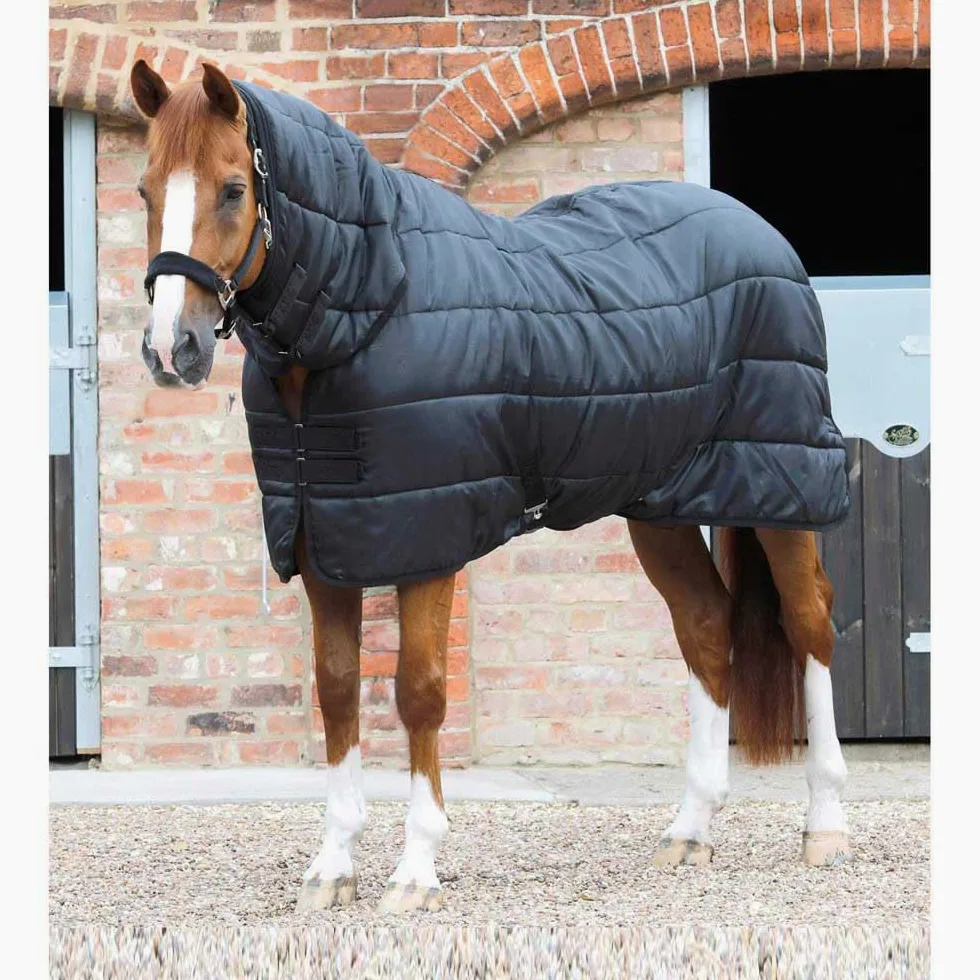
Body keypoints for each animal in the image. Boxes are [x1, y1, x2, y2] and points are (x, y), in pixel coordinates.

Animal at [129, 59, 852, 914]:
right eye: (144, 189)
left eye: (234, 188)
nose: (172, 349)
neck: (369, 305)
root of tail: (760, 234)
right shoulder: (320, 541)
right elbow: (337, 689)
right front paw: (333, 867)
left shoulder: (428, 543)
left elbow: (418, 691)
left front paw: (415, 870)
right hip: (660, 506)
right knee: (708, 628)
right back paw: (689, 831)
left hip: (784, 487)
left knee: (810, 627)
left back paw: (826, 826)